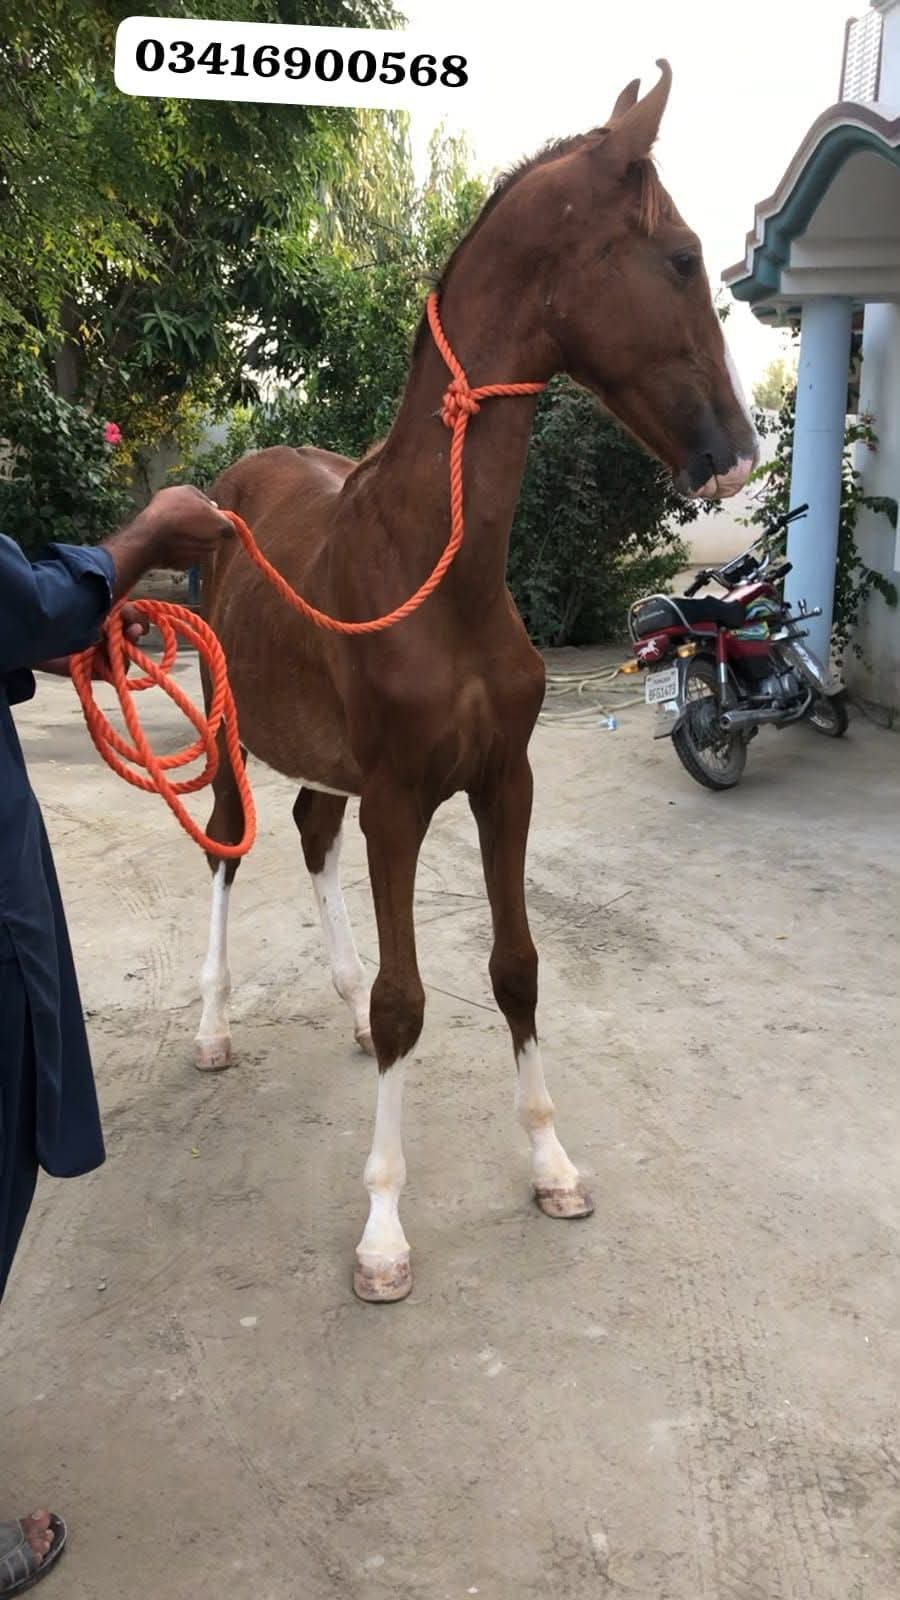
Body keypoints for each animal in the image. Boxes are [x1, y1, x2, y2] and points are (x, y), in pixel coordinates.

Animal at [194, 61, 758, 1303]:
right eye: (683, 257)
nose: (737, 454)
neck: (433, 564)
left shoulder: (505, 781)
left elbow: (517, 969)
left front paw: (552, 1163)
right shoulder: (404, 799)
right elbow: (413, 1001)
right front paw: (382, 1231)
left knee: (309, 834)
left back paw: (339, 1005)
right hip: (222, 727)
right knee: (226, 844)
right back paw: (209, 1027)